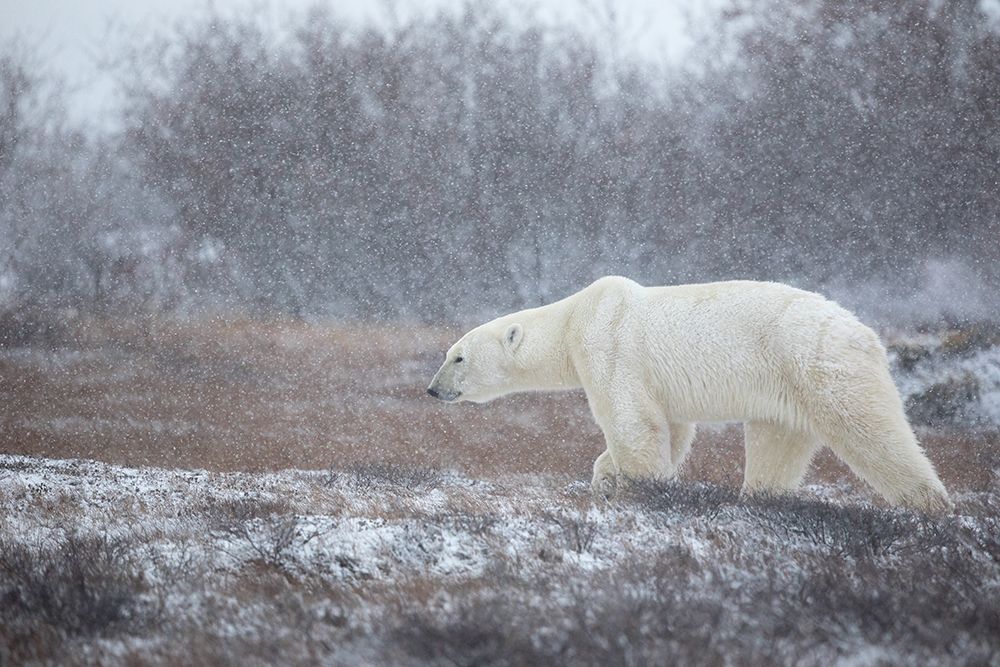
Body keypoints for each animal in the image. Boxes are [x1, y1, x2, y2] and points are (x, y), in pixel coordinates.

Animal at [428, 276, 952, 512]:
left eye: (458, 357)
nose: (433, 389)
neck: (575, 316)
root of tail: (869, 335)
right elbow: (670, 427)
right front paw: (604, 479)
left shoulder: (608, 345)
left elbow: (633, 424)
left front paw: (641, 491)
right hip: (786, 389)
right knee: (776, 443)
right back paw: (758, 501)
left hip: (820, 365)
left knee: (873, 434)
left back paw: (931, 507)